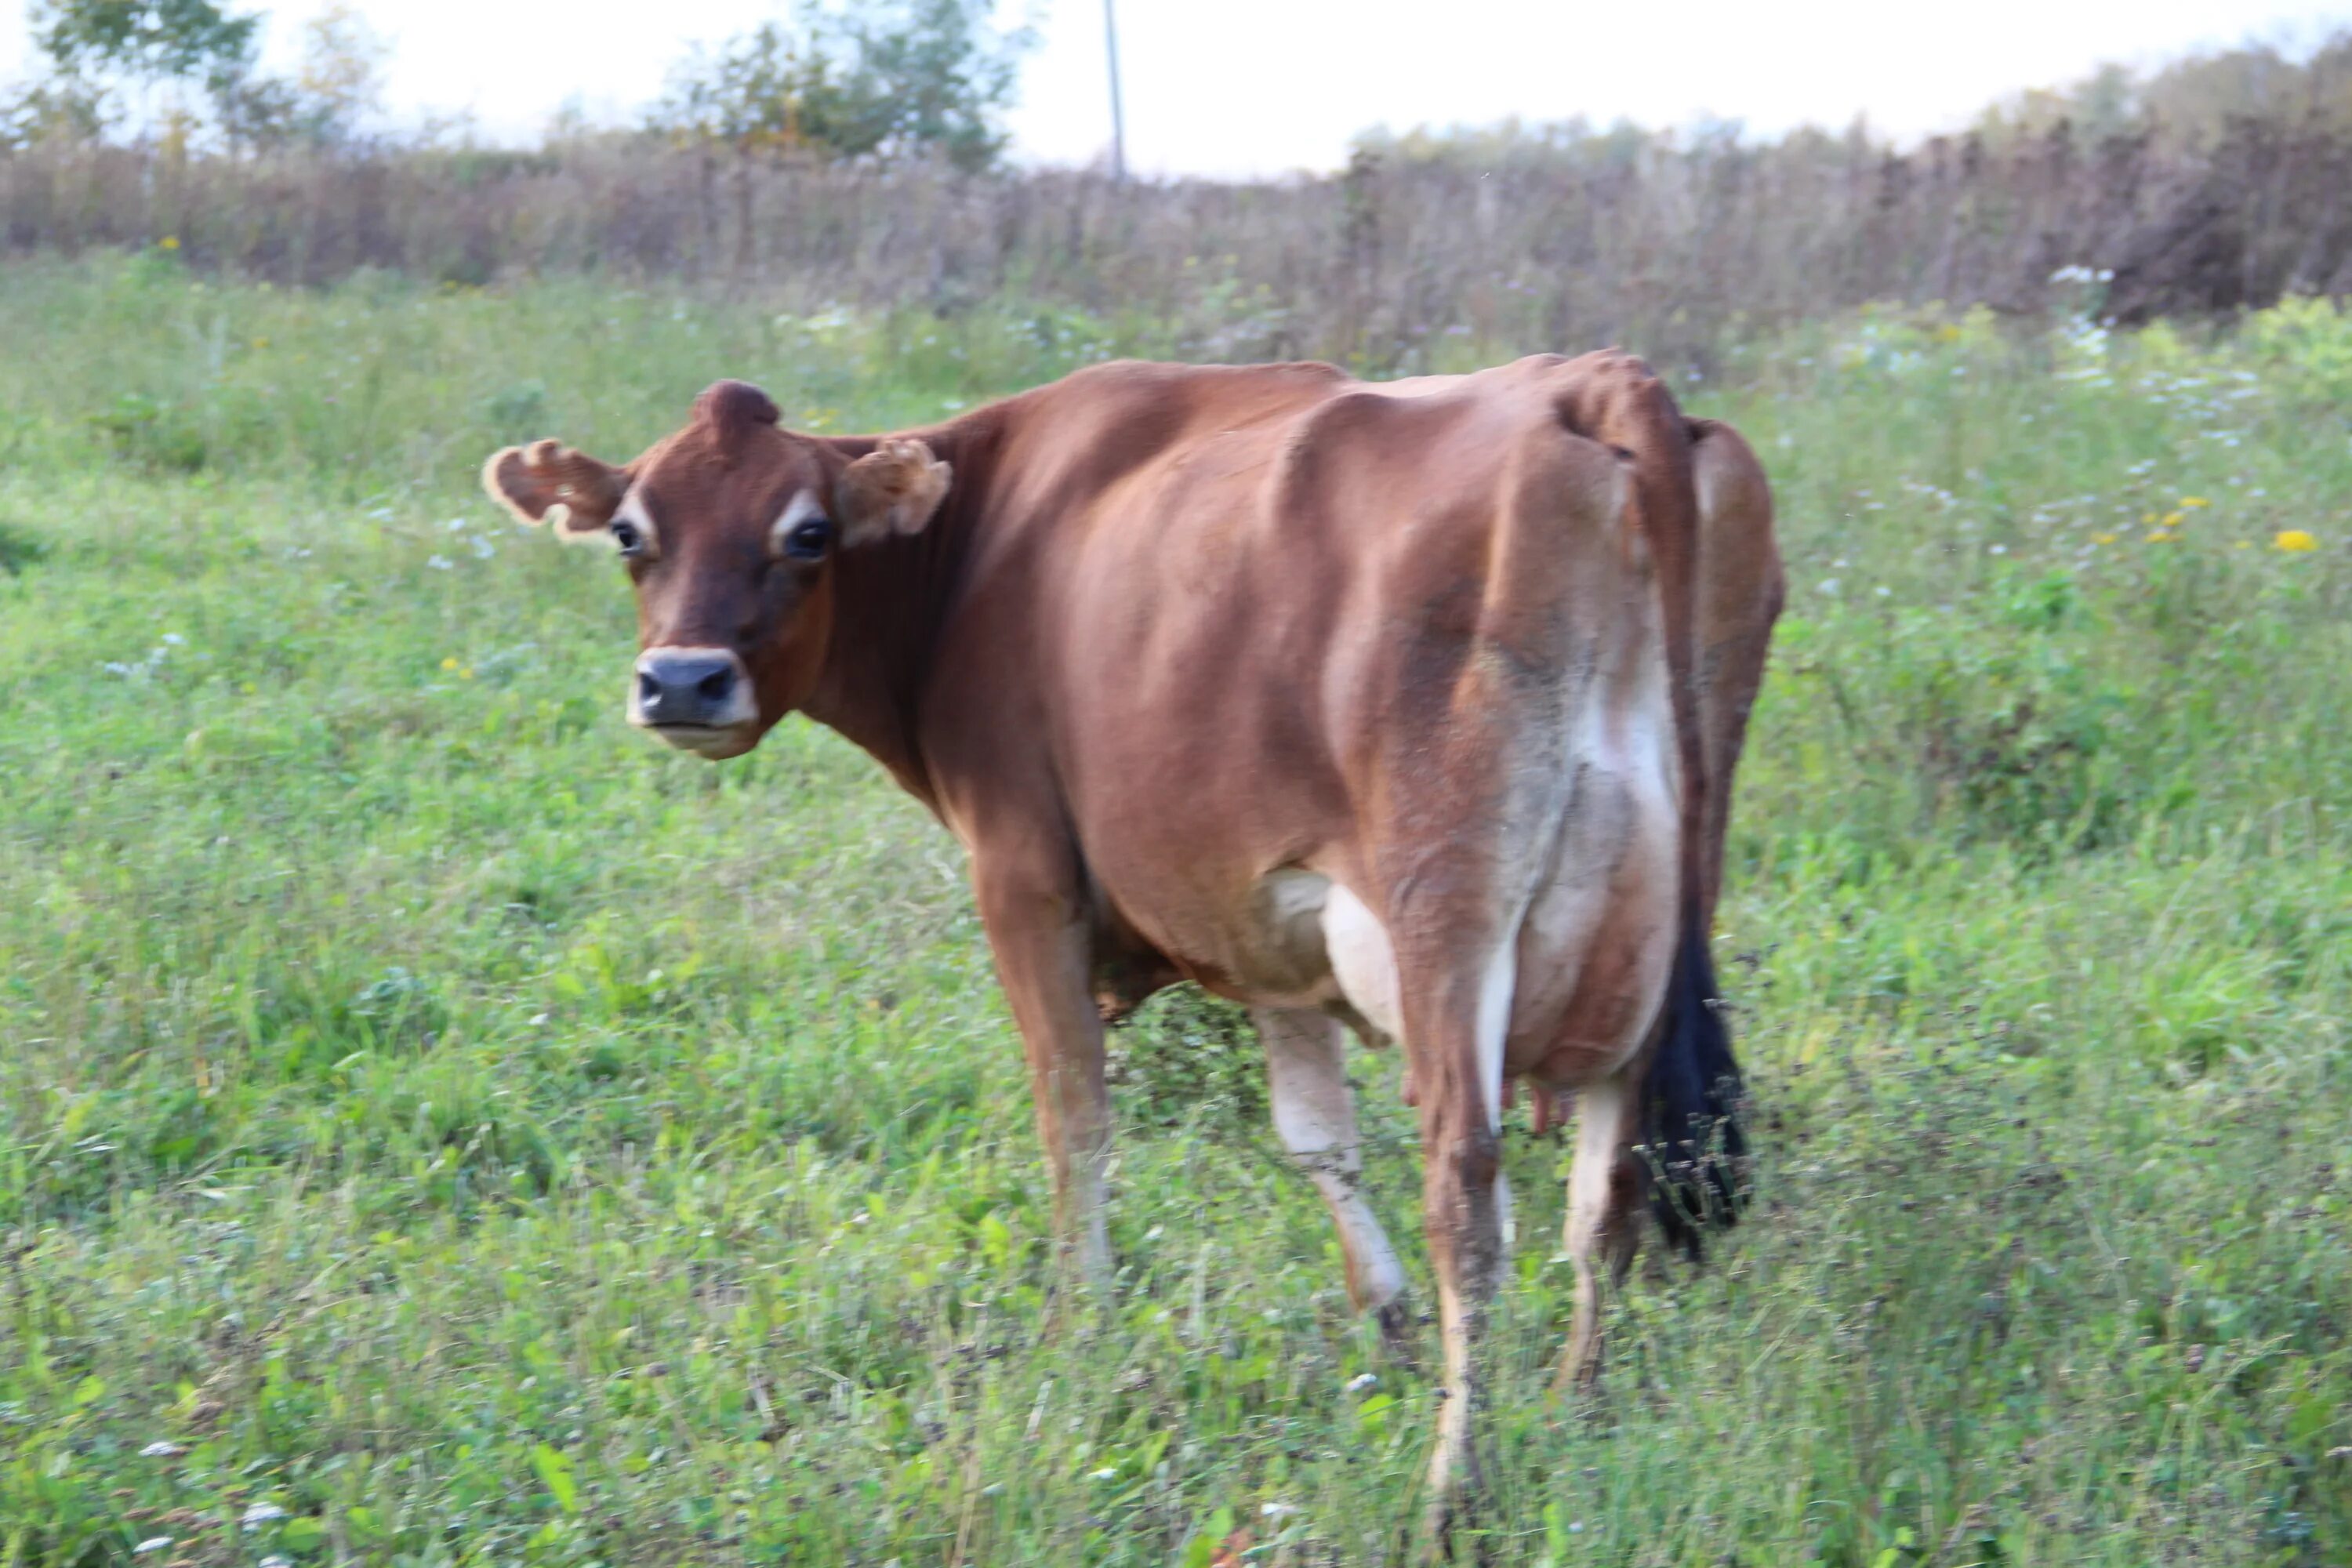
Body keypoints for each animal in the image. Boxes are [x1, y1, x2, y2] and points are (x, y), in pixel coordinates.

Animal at [482, 352, 1778, 1533]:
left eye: (806, 534)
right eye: (632, 534)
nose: (682, 680)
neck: (984, 528)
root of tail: (1599, 382)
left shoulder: (1024, 872)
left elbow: (1075, 1117)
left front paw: (1082, 1328)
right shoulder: (1263, 911)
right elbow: (1316, 1139)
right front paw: (1388, 1322)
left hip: (1446, 902)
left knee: (1468, 1187)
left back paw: (1457, 1485)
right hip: (1652, 921)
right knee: (1608, 1187)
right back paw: (1573, 1405)